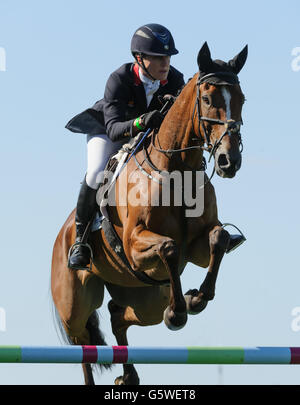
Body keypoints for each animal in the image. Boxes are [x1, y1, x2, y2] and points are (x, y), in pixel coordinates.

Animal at [51, 41, 248, 386]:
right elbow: (168, 246)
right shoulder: (134, 244)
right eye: (207, 99)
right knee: (82, 344)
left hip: (146, 297)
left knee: (118, 314)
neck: (178, 172)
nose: (229, 161)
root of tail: (59, 239)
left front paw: (195, 299)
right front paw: (180, 311)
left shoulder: (196, 247)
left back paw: (129, 374)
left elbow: (219, 238)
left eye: (242, 100)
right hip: (74, 305)